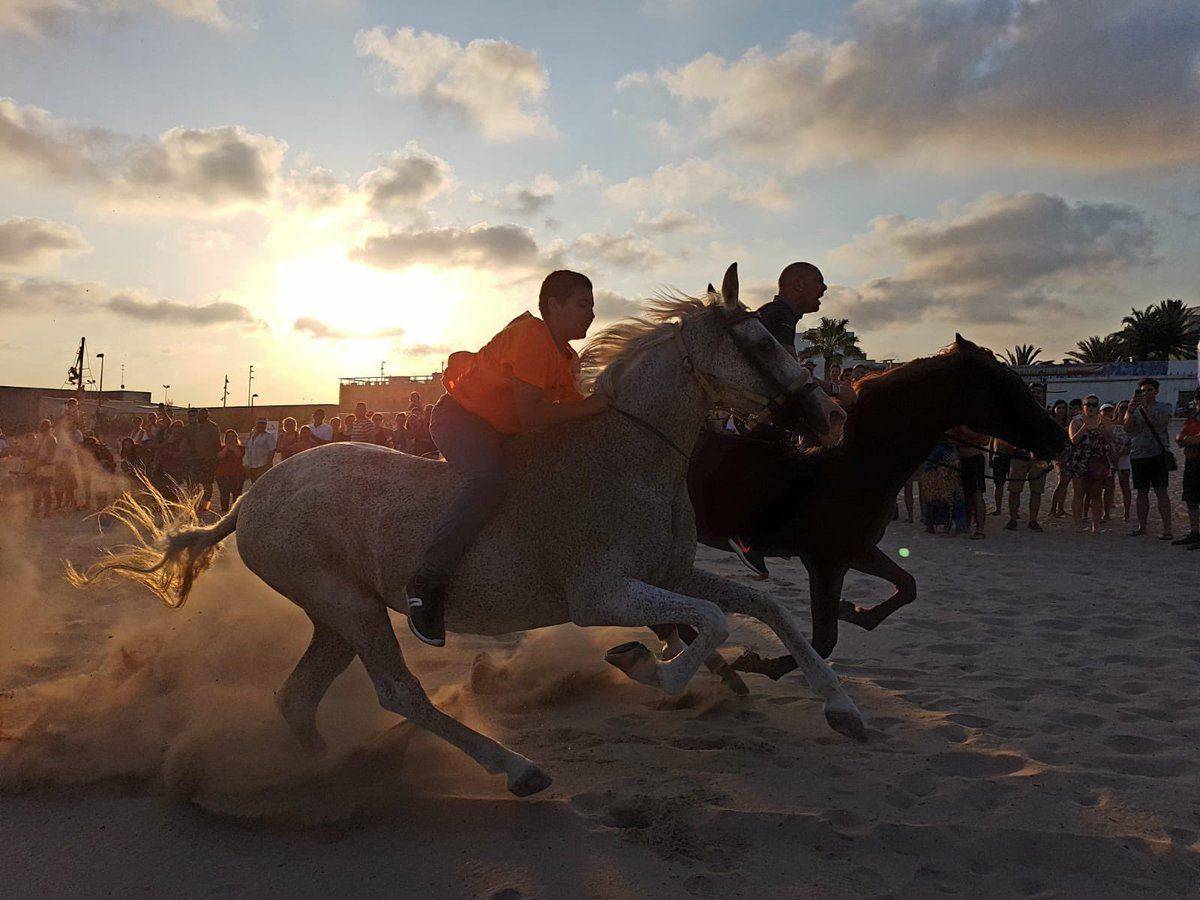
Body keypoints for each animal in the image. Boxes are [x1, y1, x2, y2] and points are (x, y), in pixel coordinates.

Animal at [70, 266, 864, 796]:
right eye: (761, 340)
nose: (831, 416)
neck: (631, 456)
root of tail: (254, 496)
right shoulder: (601, 595)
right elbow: (709, 624)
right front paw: (647, 666)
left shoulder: (669, 573)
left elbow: (763, 606)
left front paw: (844, 709)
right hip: (348, 606)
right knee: (399, 694)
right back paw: (513, 769)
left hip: (337, 614)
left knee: (299, 698)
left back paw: (331, 771)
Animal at [681, 333, 1065, 676]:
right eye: (1004, 385)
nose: (1059, 438)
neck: (857, 463)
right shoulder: (825, 561)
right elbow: (823, 642)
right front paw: (759, 663)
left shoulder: (857, 552)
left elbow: (907, 587)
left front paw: (854, 611)